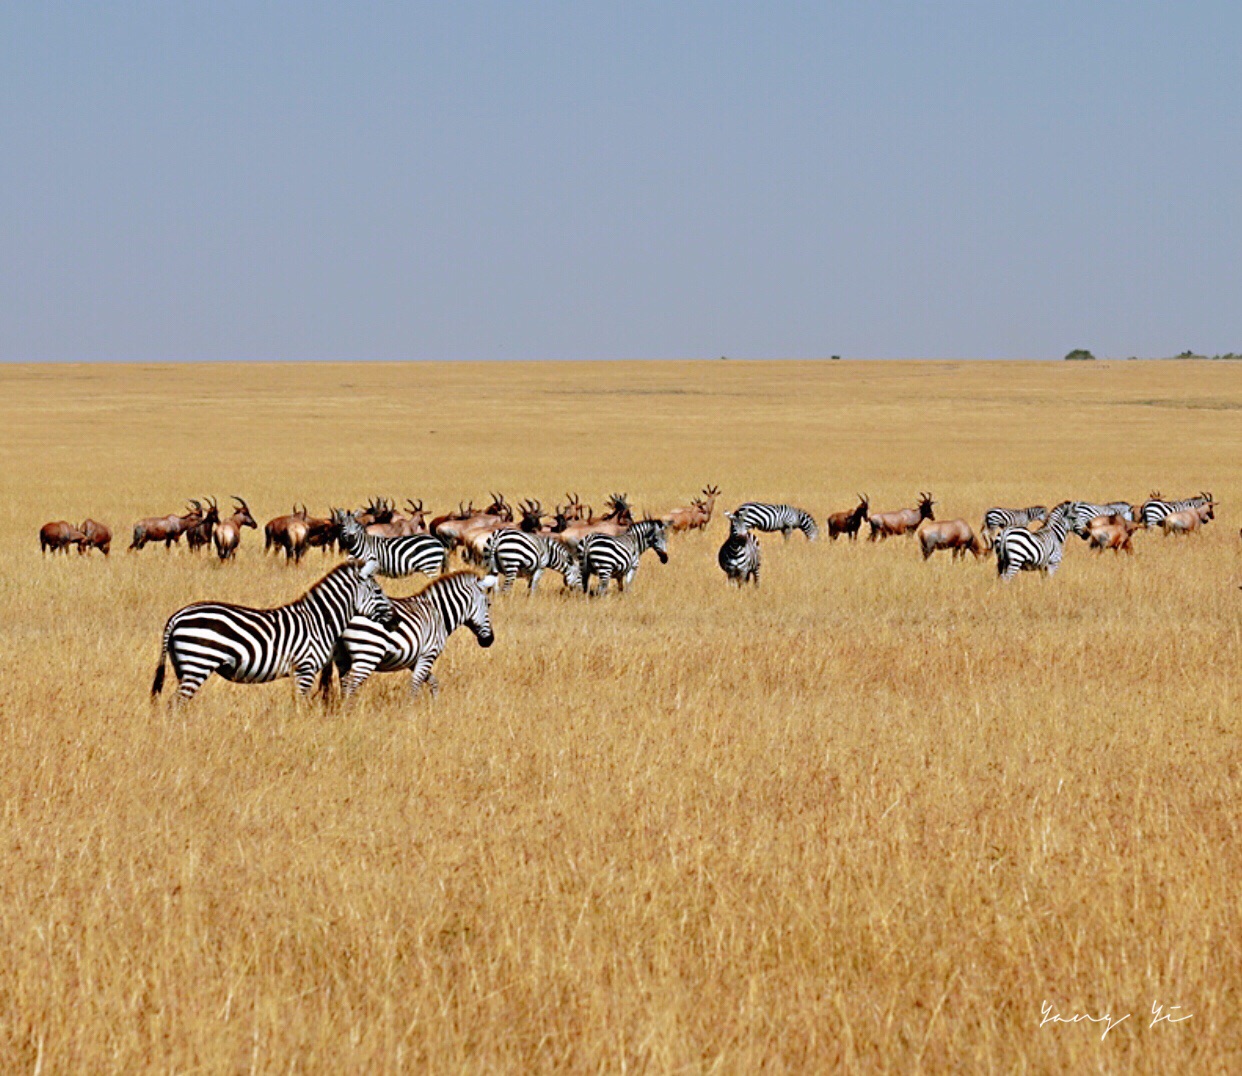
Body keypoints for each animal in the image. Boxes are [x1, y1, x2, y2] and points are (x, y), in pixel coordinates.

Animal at [317, 571, 496, 695]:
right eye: (488, 604)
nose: (490, 641)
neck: (439, 613)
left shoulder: (414, 660)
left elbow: (433, 681)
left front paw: (434, 705)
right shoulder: (428, 654)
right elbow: (415, 684)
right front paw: (412, 710)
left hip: (342, 656)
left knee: (344, 682)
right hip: (369, 652)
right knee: (351, 683)